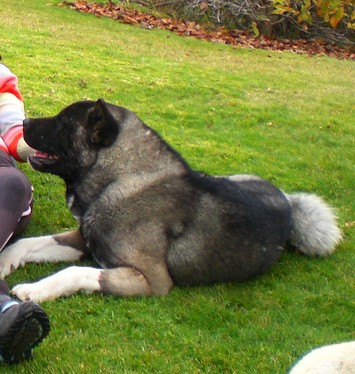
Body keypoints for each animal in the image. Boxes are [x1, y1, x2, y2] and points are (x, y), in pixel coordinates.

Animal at [0, 98, 344, 300]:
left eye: (62, 122)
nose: (24, 123)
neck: (121, 180)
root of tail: (288, 202)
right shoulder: (82, 239)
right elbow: (28, 243)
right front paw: (5, 261)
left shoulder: (151, 280)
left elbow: (76, 272)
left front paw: (35, 290)